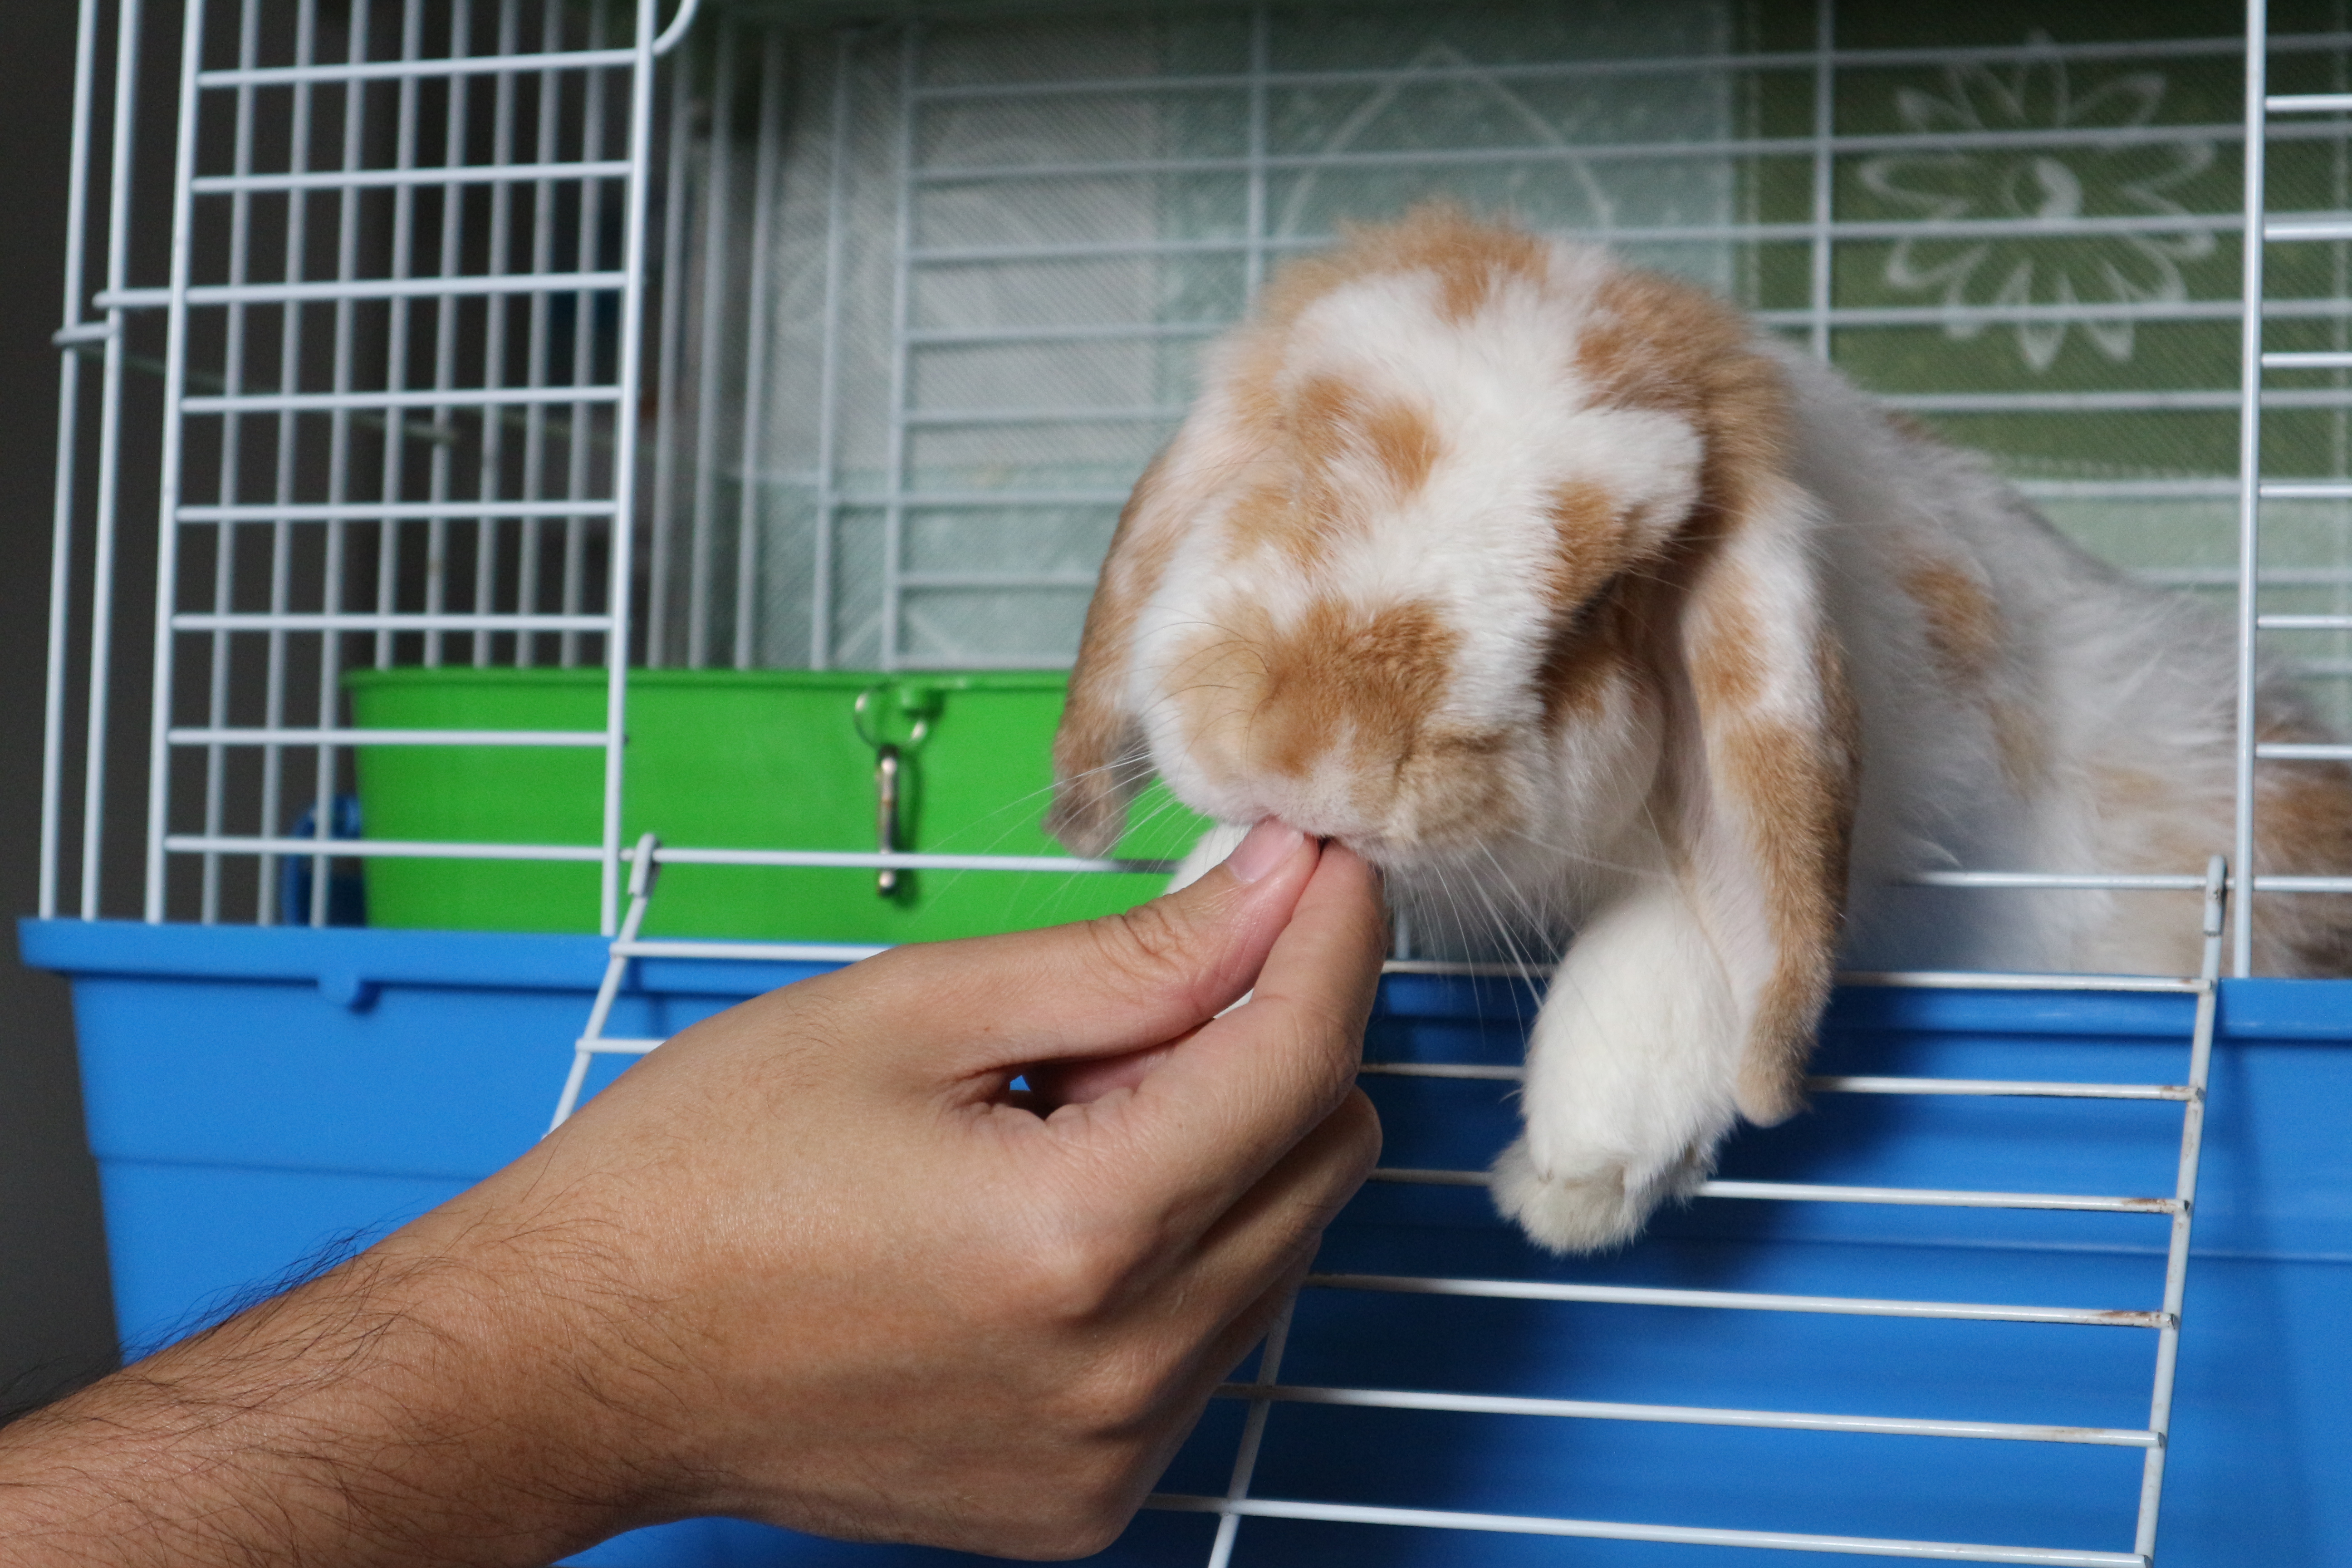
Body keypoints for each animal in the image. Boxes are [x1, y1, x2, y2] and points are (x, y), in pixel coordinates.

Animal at [1044, 206, 2352, 1250]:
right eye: (1301, 459)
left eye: (1601, 604)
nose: (1317, 757)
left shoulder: (1861, 837)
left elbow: (1699, 927)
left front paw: (1577, 1174)